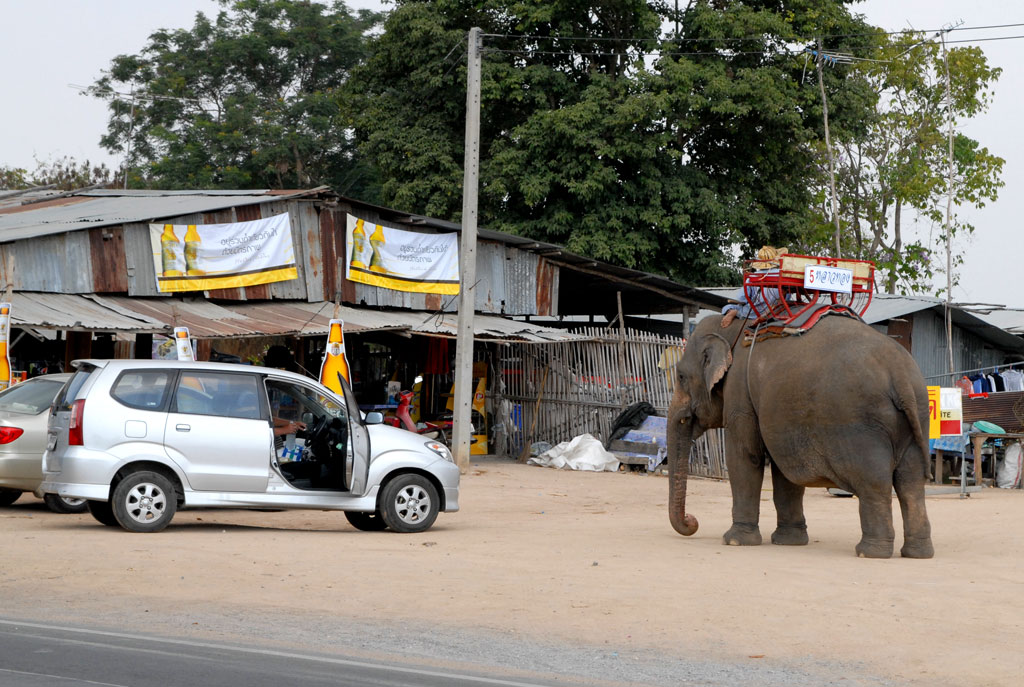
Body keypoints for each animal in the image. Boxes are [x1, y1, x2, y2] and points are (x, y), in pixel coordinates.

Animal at [667, 311, 933, 556]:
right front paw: (789, 541)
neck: (733, 327)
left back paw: (869, 552)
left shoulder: (740, 393)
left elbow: (745, 457)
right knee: (911, 484)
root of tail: (900, 375)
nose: (692, 520)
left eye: (680, 376)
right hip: (917, 418)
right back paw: (917, 553)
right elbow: (783, 471)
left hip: (863, 424)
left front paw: (734, 541)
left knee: (874, 482)